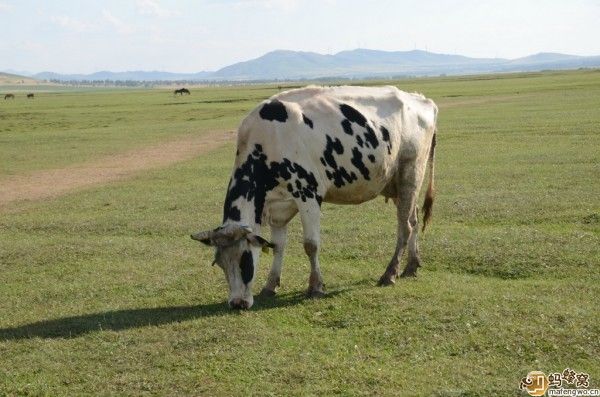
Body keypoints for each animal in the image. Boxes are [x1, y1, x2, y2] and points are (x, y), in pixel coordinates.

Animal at [192, 85, 436, 308]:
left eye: (245, 260)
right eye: (220, 263)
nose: (237, 303)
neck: (266, 141)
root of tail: (422, 100)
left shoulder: (307, 195)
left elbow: (311, 245)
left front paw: (316, 286)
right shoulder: (276, 206)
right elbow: (277, 245)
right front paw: (270, 285)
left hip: (411, 173)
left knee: (405, 226)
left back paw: (390, 273)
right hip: (396, 184)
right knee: (413, 219)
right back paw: (412, 265)